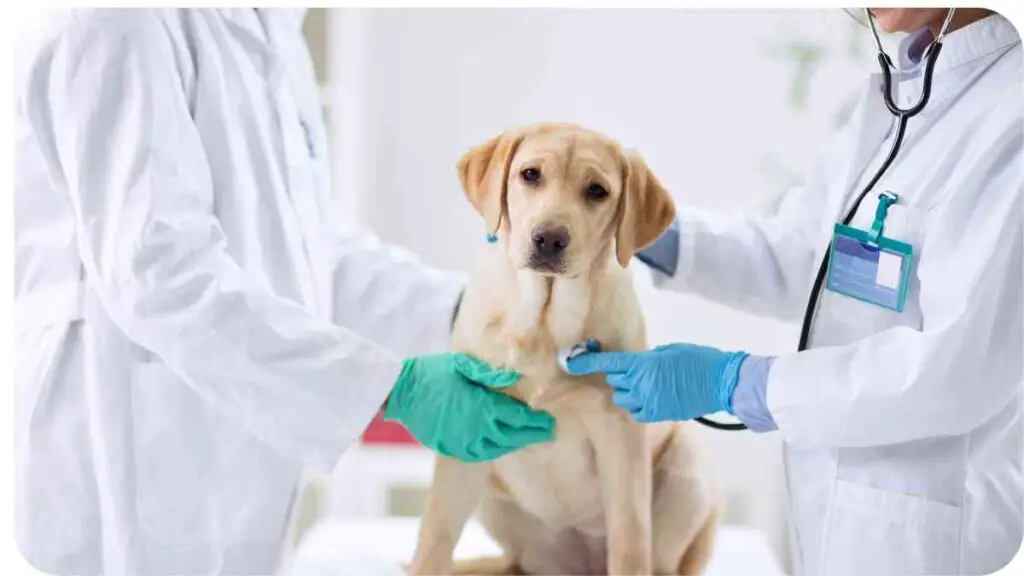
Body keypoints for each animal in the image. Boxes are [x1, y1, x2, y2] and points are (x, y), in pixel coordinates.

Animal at [407, 123, 720, 569]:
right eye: (530, 174)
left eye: (597, 190)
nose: (549, 238)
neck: (544, 322)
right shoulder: (465, 431)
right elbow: (435, 533)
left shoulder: (621, 440)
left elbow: (630, 540)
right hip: (495, 502)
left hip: (686, 467)